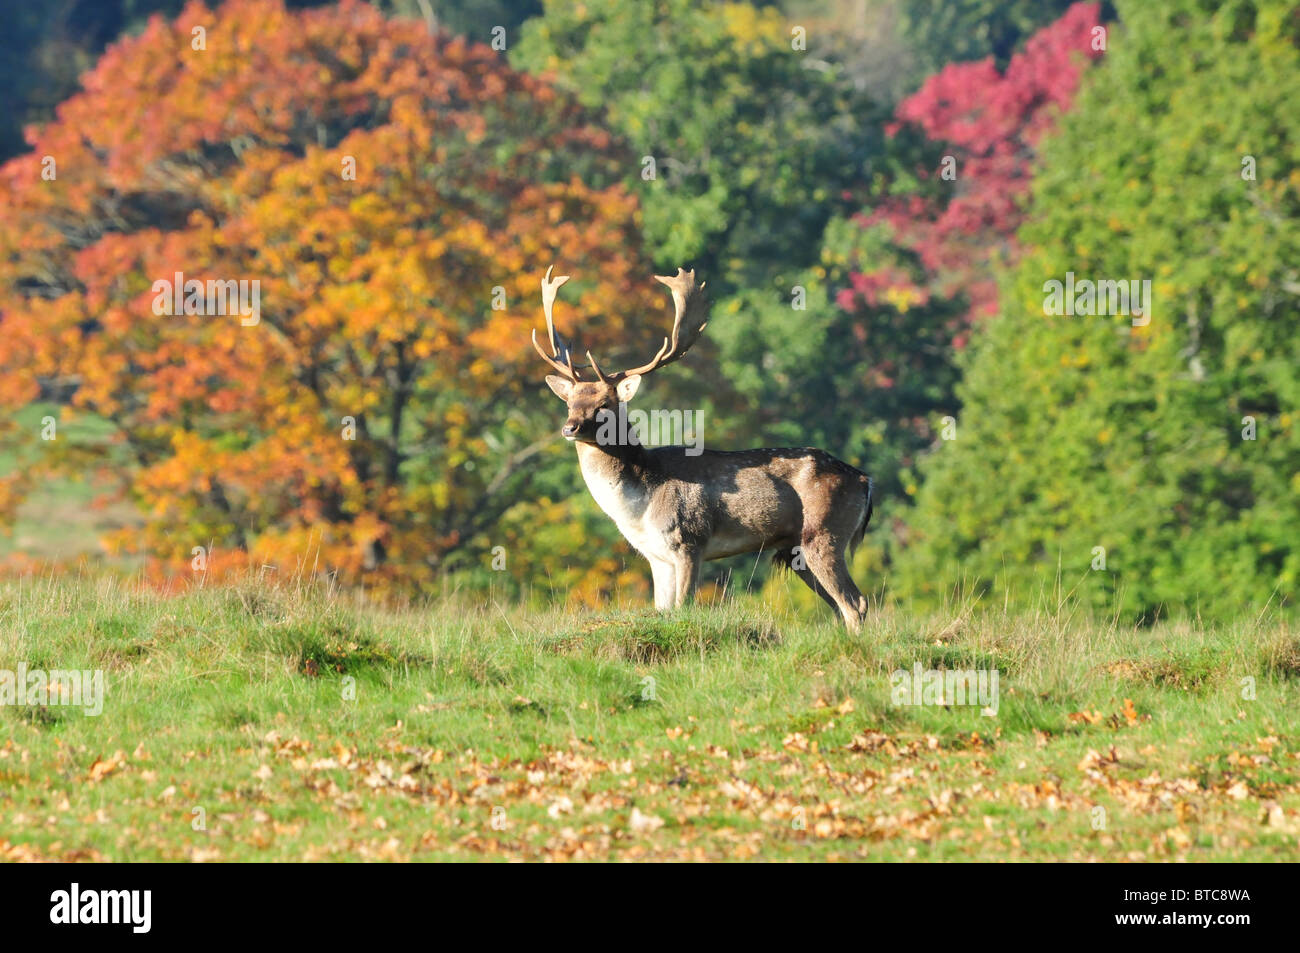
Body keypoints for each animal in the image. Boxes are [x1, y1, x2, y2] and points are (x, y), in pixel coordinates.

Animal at [527, 263, 873, 629]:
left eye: (605, 404)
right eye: (570, 402)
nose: (569, 427)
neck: (640, 504)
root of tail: (866, 481)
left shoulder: (689, 540)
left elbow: (684, 606)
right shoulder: (656, 556)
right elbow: (662, 610)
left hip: (823, 532)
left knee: (854, 602)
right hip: (797, 550)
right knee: (843, 605)